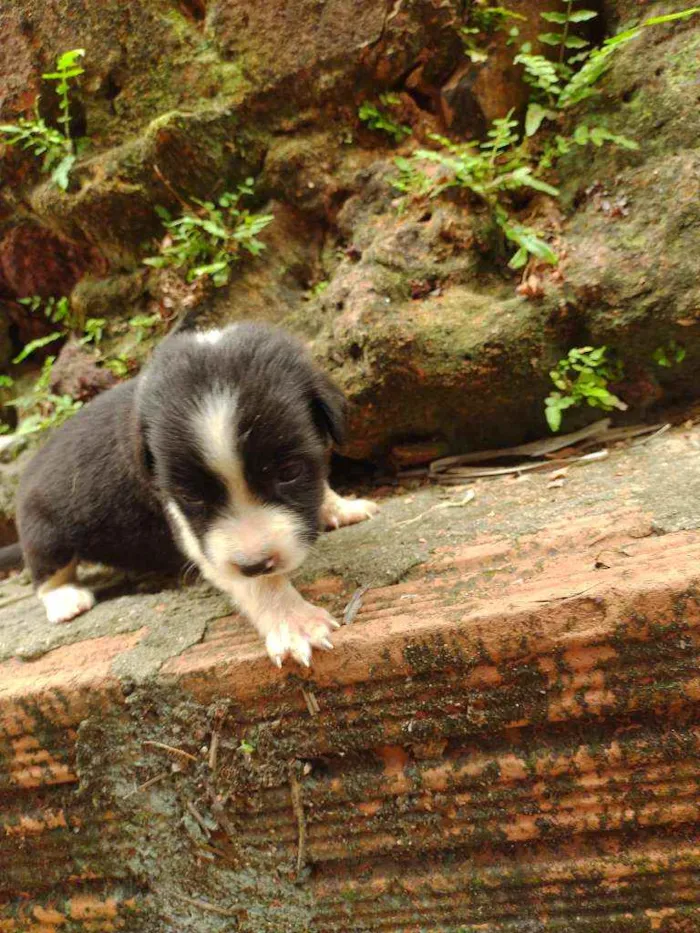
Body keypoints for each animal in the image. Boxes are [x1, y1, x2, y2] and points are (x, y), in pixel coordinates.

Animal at [10, 324, 380, 668]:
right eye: (191, 496)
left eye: (289, 472)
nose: (254, 563)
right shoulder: (195, 534)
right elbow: (260, 584)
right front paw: (294, 622)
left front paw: (341, 506)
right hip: (46, 533)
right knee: (46, 574)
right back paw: (65, 599)